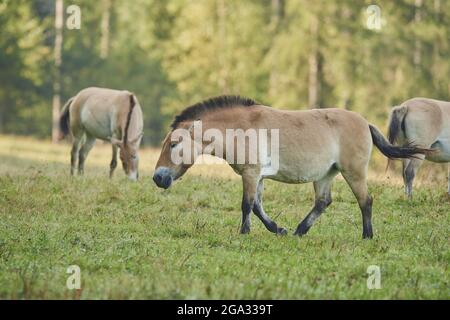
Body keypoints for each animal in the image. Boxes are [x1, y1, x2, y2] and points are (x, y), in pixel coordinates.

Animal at [153, 96, 430, 239]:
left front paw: (243, 233)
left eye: (174, 144)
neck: (240, 128)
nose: (157, 178)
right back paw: (299, 231)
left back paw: (367, 236)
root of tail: (365, 123)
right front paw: (278, 229)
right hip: (325, 174)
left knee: (366, 201)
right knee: (323, 202)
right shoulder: (257, 176)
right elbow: (257, 206)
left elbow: (246, 205)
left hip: (353, 172)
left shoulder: (251, 173)